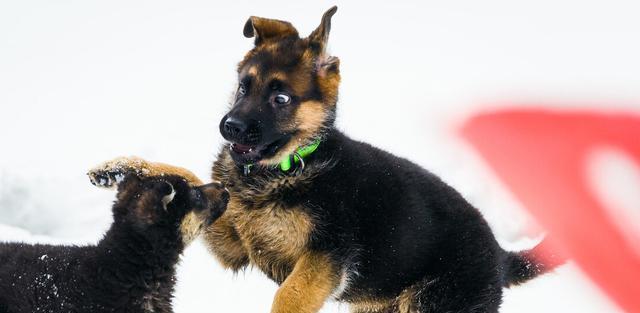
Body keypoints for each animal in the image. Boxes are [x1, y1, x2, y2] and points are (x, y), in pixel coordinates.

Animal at [92, 5, 564, 312]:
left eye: (281, 98)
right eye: (244, 86)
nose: (229, 128)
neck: (288, 168)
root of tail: (499, 255)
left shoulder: (326, 258)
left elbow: (288, 296)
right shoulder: (234, 244)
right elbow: (192, 177)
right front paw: (117, 169)